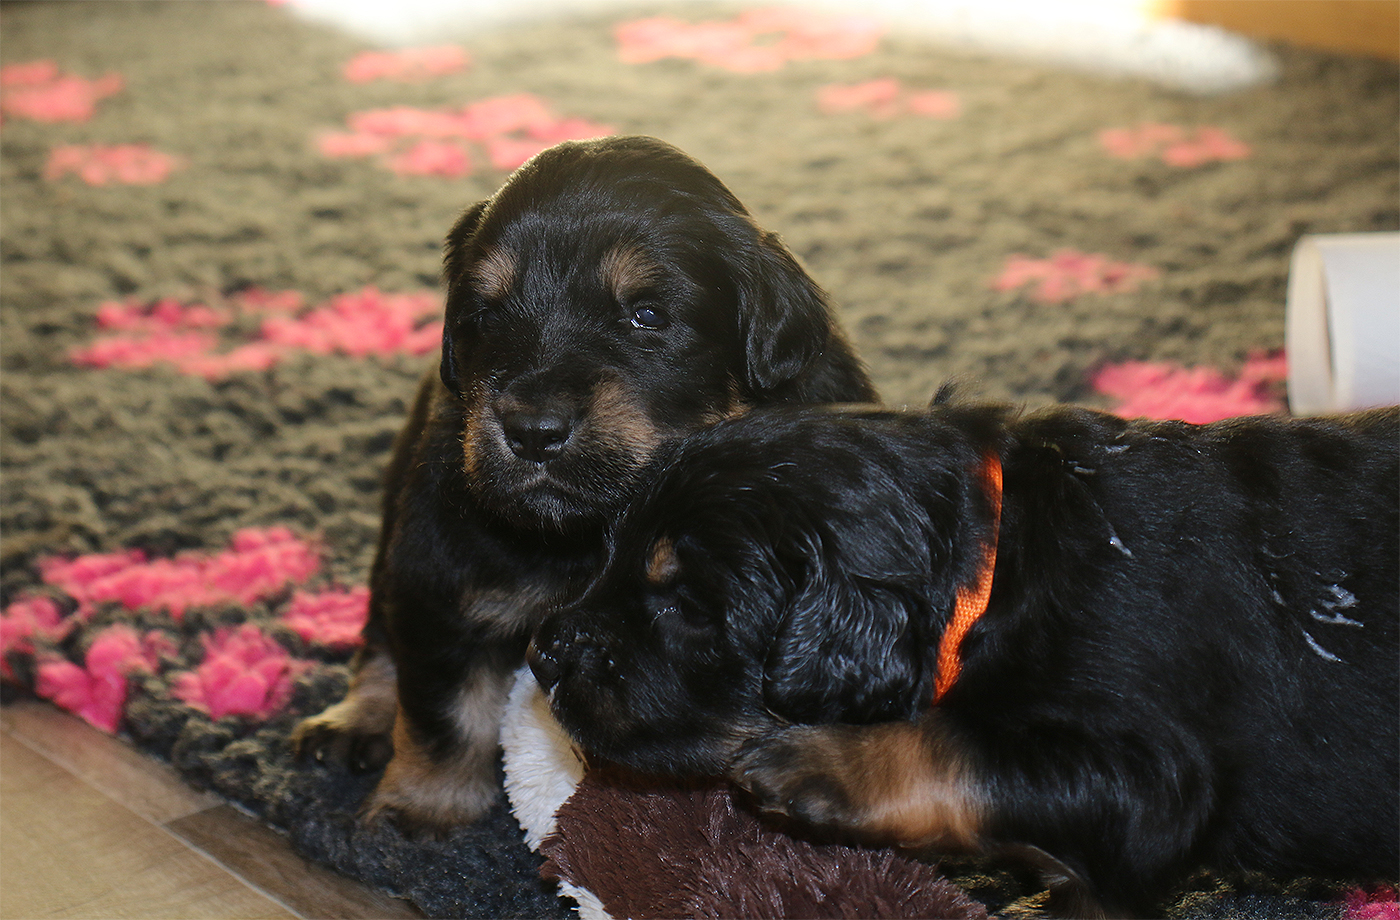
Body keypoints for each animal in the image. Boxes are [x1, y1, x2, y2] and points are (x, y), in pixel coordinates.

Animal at [292, 135, 877, 833]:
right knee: (382, 630)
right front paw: (424, 808)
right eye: (487, 315)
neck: (592, 531)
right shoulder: (441, 566)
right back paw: (354, 720)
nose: (531, 431)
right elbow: (443, 706)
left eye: (647, 315)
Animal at [529, 397, 1399, 916]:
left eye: (682, 604)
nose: (543, 651)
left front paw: (817, 762)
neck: (998, 566)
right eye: (608, 552)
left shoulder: (1151, 773)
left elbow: (968, 746)